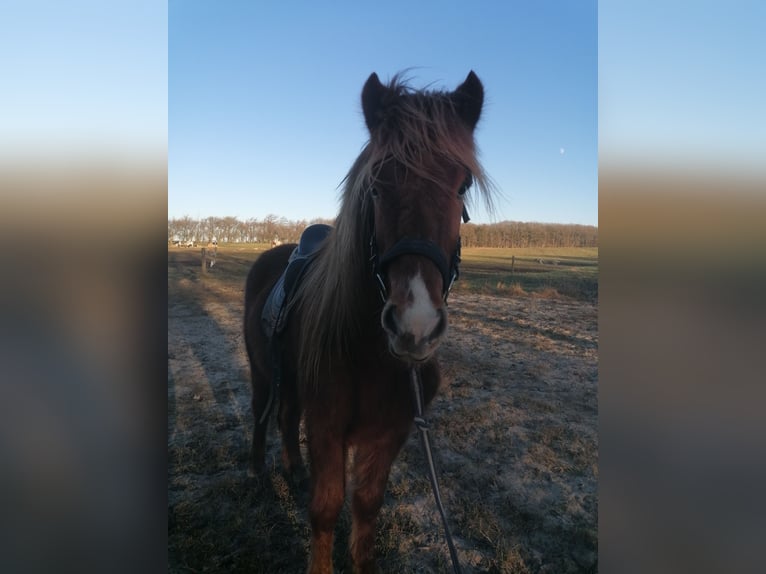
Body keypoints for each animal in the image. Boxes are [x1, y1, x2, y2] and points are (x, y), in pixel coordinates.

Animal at [244, 71, 494, 574]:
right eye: (376, 187)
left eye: (462, 187)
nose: (415, 324)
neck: (372, 357)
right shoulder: (327, 427)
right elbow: (325, 511)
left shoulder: (390, 432)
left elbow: (366, 509)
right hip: (262, 373)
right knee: (263, 413)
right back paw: (261, 470)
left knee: (285, 416)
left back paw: (291, 468)